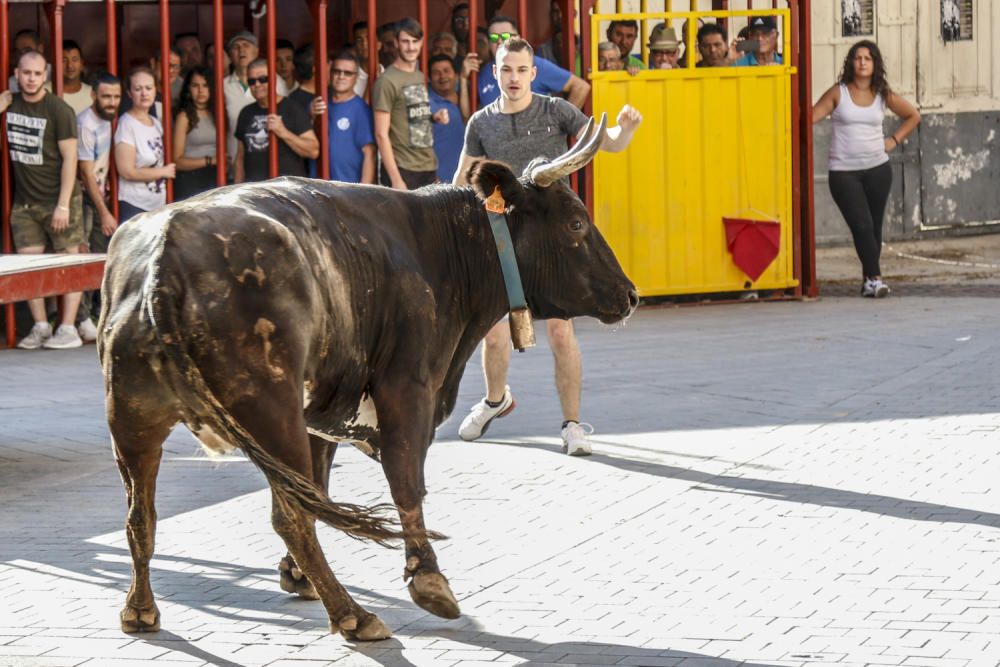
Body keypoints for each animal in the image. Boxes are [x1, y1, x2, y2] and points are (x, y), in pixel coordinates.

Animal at [99, 122, 632, 640]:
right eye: (576, 223)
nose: (629, 294)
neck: (437, 247)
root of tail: (165, 253)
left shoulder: (322, 412)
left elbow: (317, 487)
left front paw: (296, 576)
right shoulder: (407, 389)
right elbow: (405, 482)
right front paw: (428, 580)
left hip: (133, 420)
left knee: (141, 515)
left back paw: (140, 609)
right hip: (270, 413)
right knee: (288, 516)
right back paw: (352, 614)